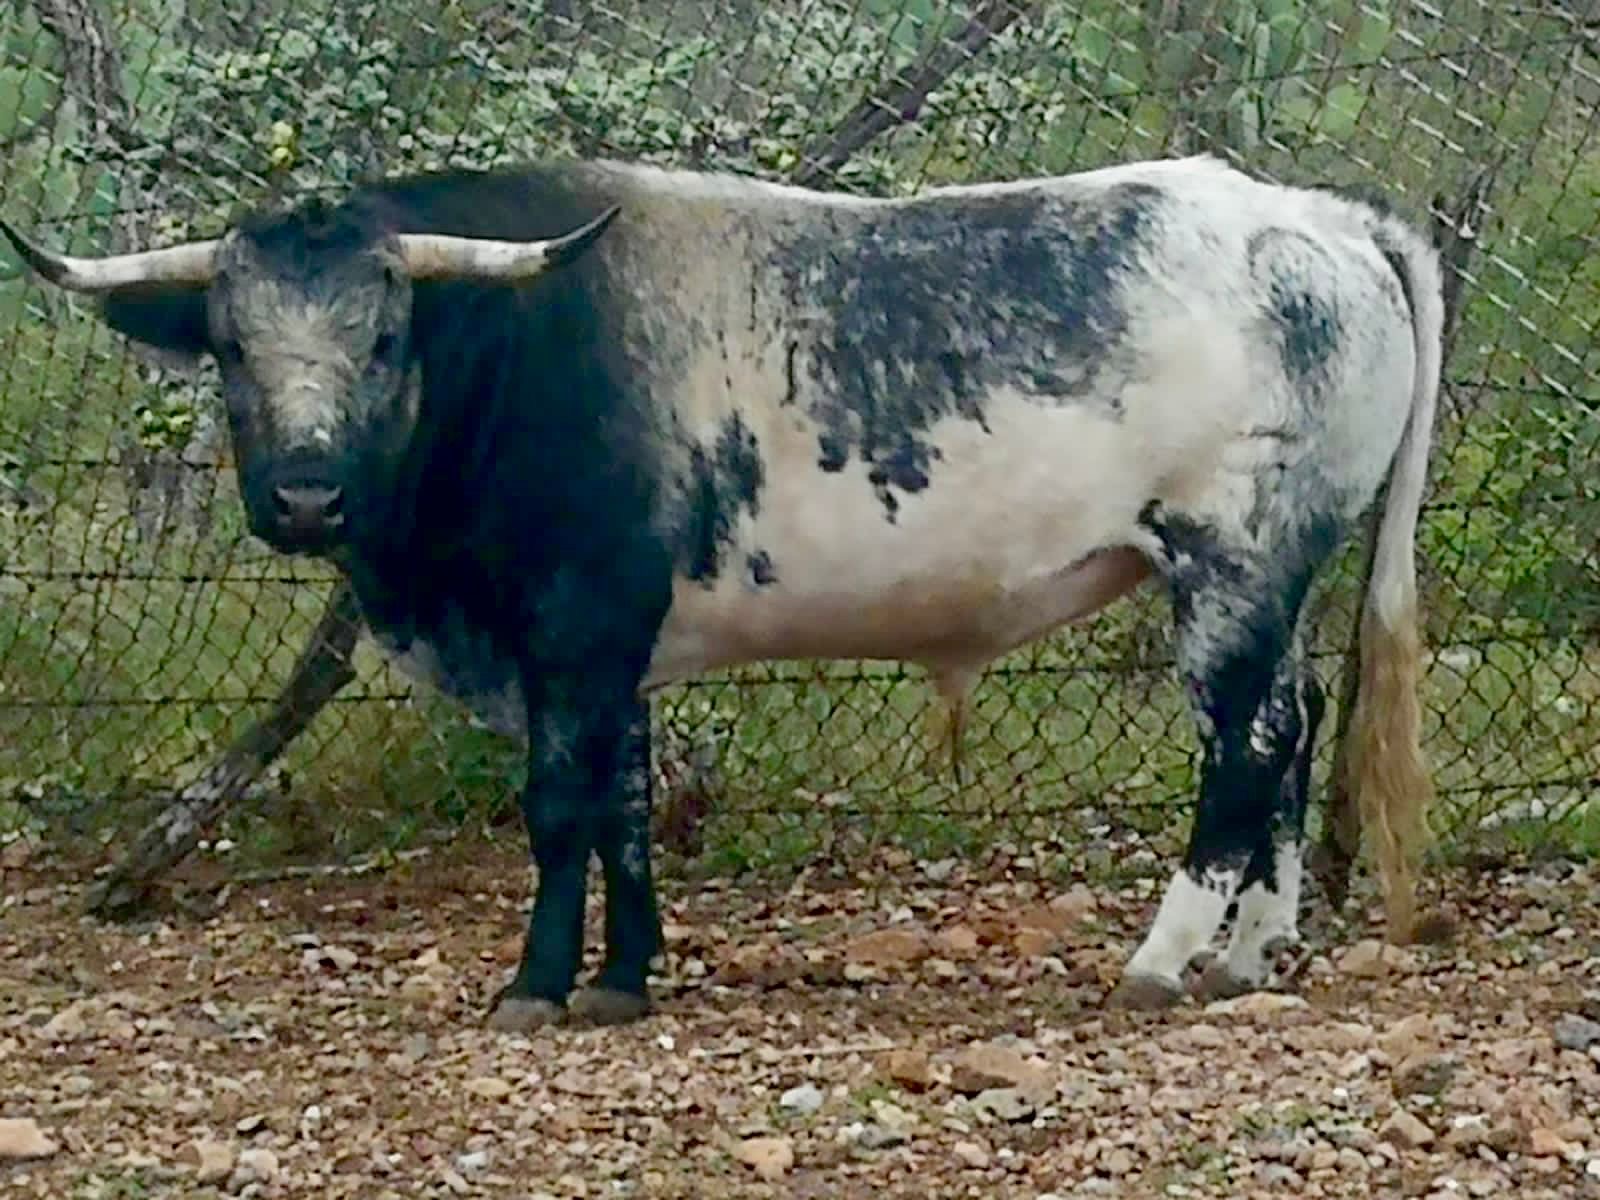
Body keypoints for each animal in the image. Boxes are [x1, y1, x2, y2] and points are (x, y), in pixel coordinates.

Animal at [3, 155, 1452, 1030]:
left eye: (384, 333)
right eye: (230, 346)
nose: (306, 496)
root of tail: (1316, 218)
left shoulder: (570, 633)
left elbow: (560, 812)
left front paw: (538, 985)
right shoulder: (619, 657)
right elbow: (628, 815)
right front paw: (624, 978)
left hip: (1227, 559)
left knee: (1245, 748)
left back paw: (1160, 957)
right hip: (1276, 574)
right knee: (1289, 732)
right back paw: (1254, 951)